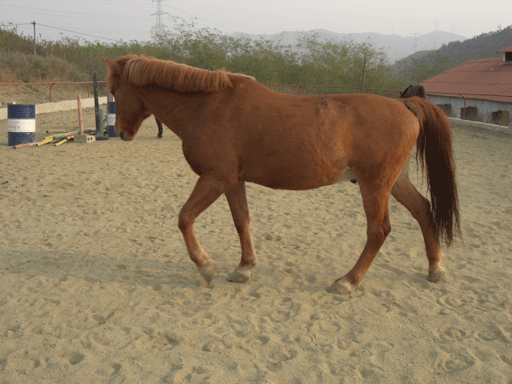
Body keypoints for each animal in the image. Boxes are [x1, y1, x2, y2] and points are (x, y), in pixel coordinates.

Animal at [103, 54, 460, 294]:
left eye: (114, 91)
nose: (120, 132)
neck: (208, 107)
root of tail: (405, 105)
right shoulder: (233, 181)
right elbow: (241, 221)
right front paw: (244, 268)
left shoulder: (215, 178)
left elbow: (184, 218)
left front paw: (206, 267)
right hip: (395, 181)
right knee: (423, 211)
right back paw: (436, 267)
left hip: (375, 183)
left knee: (379, 230)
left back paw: (348, 281)